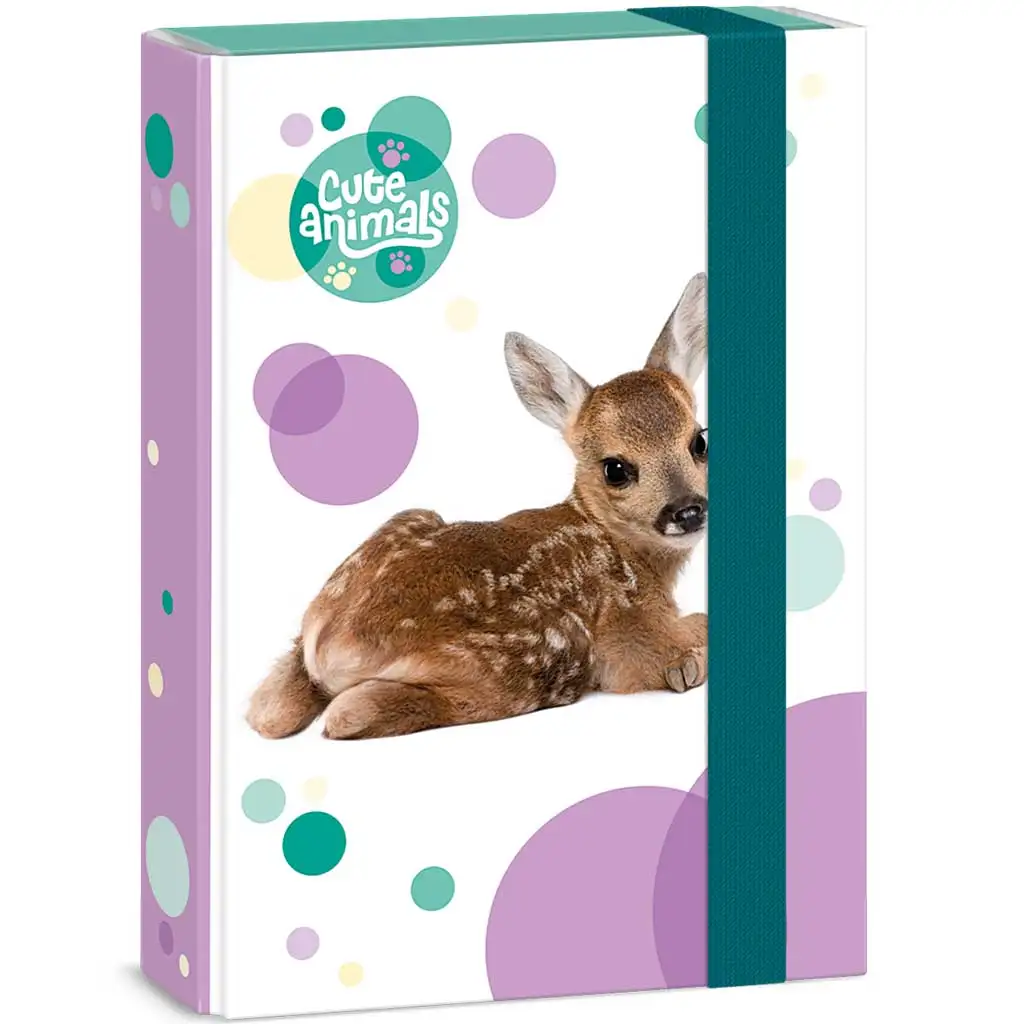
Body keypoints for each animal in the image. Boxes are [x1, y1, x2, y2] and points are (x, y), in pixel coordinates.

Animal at [246, 271, 709, 741]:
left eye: (699, 441)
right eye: (615, 468)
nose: (688, 510)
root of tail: (333, 645)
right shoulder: (628, 639)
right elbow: (691, 636)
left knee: (268, 712)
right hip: (539, 654)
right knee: (348, 713)